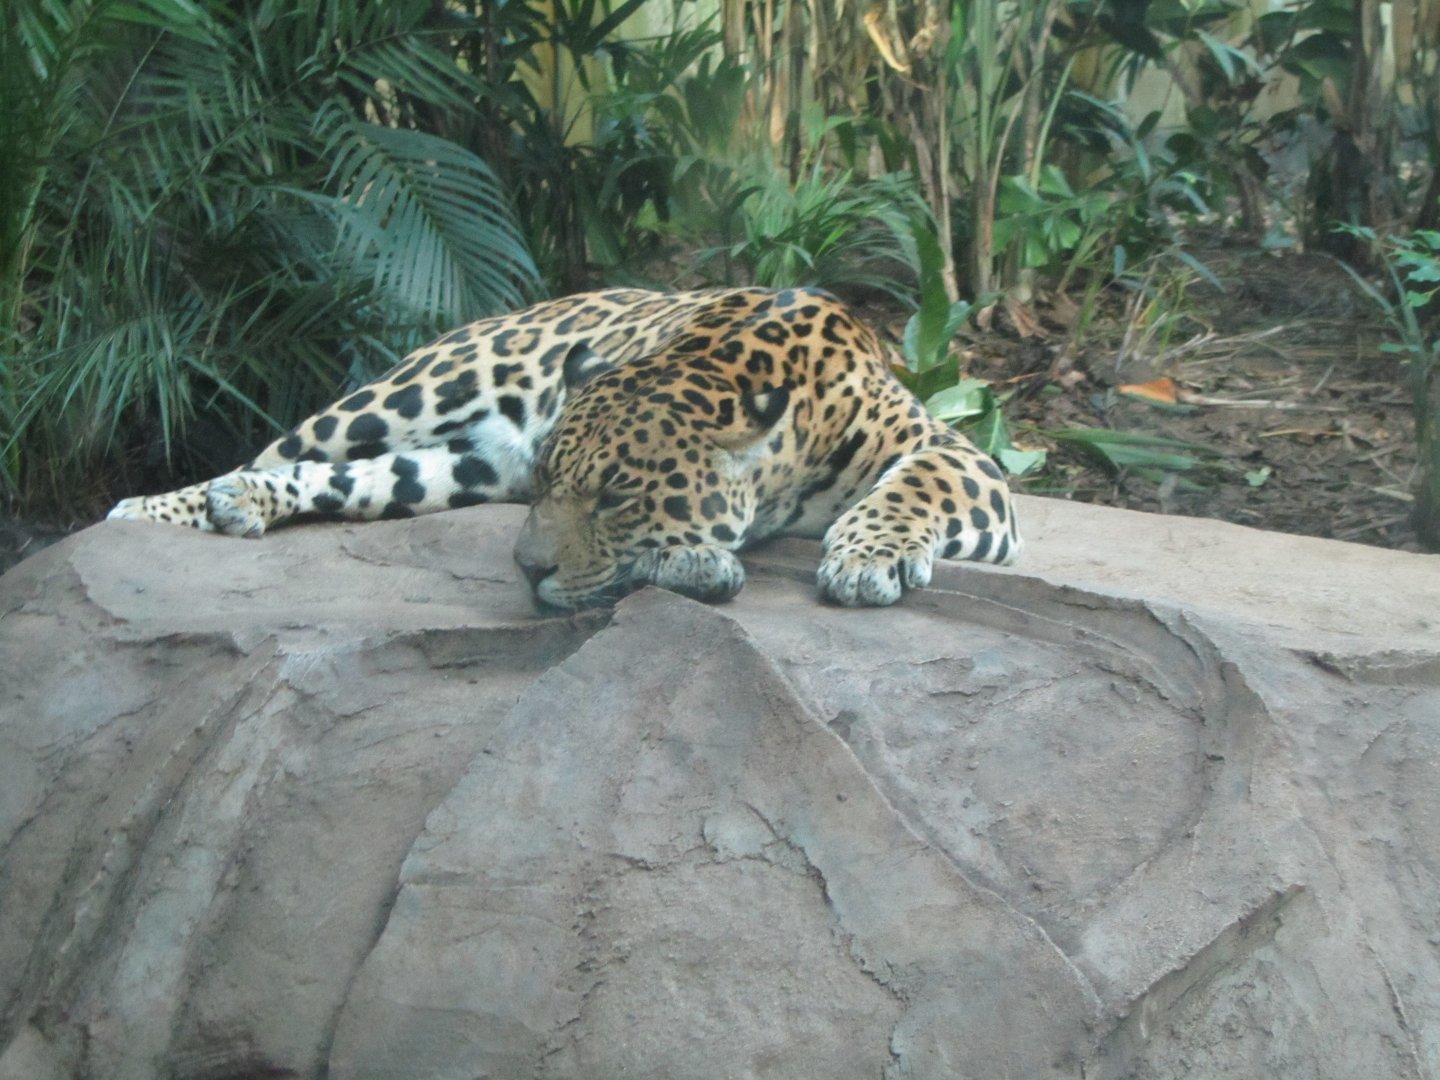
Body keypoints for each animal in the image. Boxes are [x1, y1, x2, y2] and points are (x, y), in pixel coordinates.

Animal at [108, 287, 1022, 608]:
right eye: (555, 486)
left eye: (615, 496)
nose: (524, 571)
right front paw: (696, 563)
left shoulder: (959, 454)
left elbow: (911, 489)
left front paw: (865, 561)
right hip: (407, 397)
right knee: (283, 449)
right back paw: (163, 506)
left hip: (464, 466)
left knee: (362, 478)